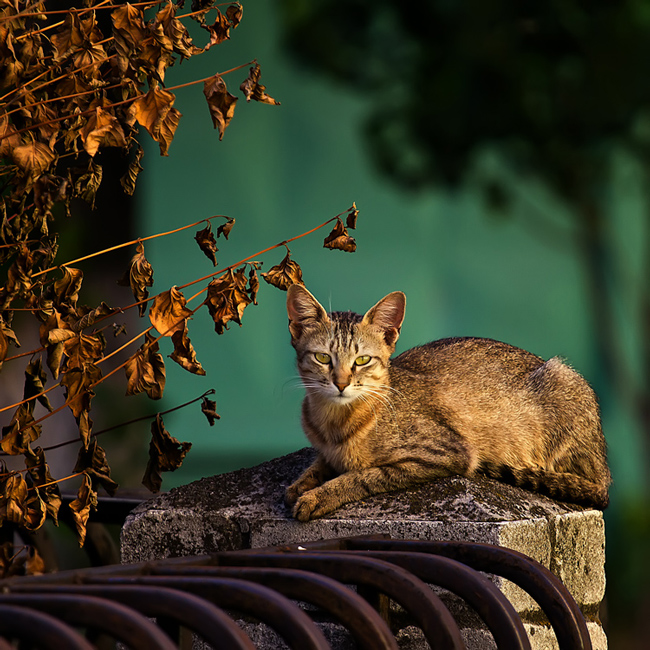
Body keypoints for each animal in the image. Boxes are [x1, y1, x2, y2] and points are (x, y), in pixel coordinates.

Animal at [282, 284, 608, 520]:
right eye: (323, 357)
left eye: (362, 360)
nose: (341, 383)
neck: (333, 424)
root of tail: (604, 471)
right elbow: (318, 464)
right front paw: (301, 483)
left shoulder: (447, 453)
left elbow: (364, 476)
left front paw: (318, 496)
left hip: (564, 379)